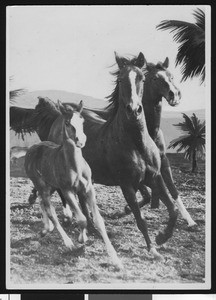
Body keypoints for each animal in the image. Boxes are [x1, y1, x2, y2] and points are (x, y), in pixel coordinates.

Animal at [24, 100, 122, 270]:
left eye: (82, 120)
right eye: (68, 122)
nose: (80, 140)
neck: (74, 165)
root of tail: (32, 149)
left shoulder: (88, 189)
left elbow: (99, 221)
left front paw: (116, 259)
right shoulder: (67, 190)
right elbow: (82, 219)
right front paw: (82, 239)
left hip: (51, 186)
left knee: (43, 204)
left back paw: (46, 229)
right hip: (42, 185)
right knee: (50, 210)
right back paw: (67, 242)